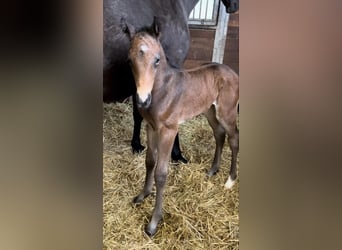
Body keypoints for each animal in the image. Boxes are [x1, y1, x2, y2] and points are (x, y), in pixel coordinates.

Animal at [124, 18, 239, 236]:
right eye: (129, 60)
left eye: (157, 60)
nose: (142, 100)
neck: (162, 90)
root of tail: (232, 71)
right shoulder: (150, 127)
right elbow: (149, 162)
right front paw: (142, 195)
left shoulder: (169, 130)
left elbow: (161, 173)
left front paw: (153, 223)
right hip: (209, 110)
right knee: (219, 135)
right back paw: (213, 170)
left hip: (226, 113)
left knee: (234, 138)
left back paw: (230, 180)